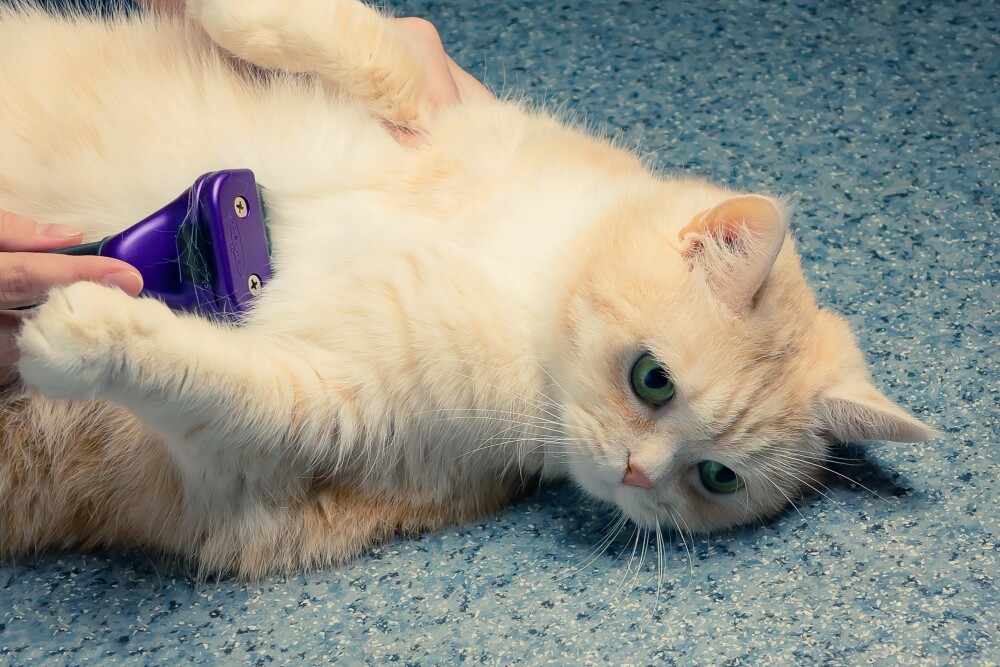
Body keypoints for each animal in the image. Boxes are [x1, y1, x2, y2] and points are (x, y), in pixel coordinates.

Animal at [0, 0, 936, 580]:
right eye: (652, 379)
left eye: (715, 476)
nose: (639, 473)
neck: (520, 284)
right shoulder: (434, 105)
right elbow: (344, 37)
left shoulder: (279, 443)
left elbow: (202, 375)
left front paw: (89, 333)